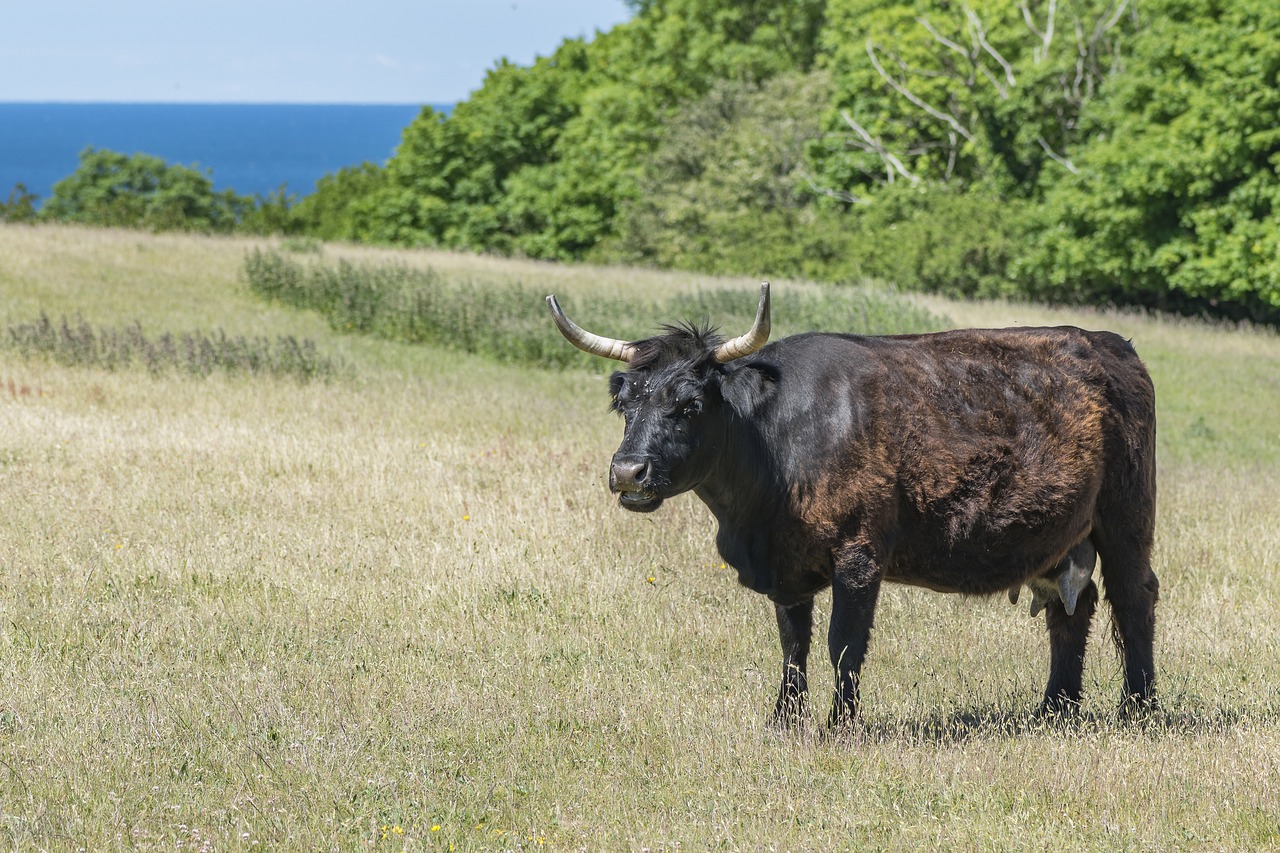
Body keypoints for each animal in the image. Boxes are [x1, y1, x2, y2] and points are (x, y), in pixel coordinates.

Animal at [550, 286, 1162, 722]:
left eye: (690, 405)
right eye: (625, 402)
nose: (627, 471)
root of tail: (1112, 344)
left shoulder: (860, 554)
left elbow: (842, 644)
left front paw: (839, 724)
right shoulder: (786, 565)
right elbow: (793, 643)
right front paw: (784, 719)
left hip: (1126, 516)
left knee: (1133, 599)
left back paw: (1139, 709)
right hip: (1062, 536)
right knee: (1072, 608)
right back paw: (1056, 708)